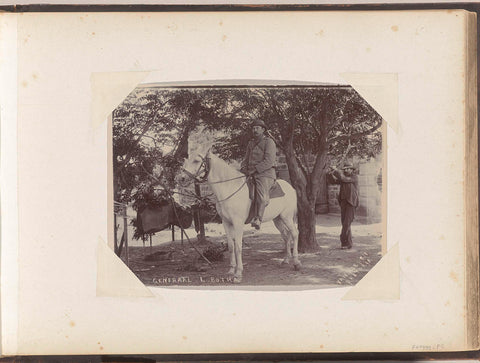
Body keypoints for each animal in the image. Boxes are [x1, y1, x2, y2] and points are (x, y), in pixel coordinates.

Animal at [180, 149, 300, 282]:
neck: (229, 188)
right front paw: (231, 271)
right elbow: (231, 246)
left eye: (196, 161)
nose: (182, 178)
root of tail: (290, 187)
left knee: (294, 234)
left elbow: (238, 247)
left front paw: (238, 274)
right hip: (278, 219)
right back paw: (286, 260)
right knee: (286, 236)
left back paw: (296, 263)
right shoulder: (226, 222)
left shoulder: (238, 223)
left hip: (287, 217)